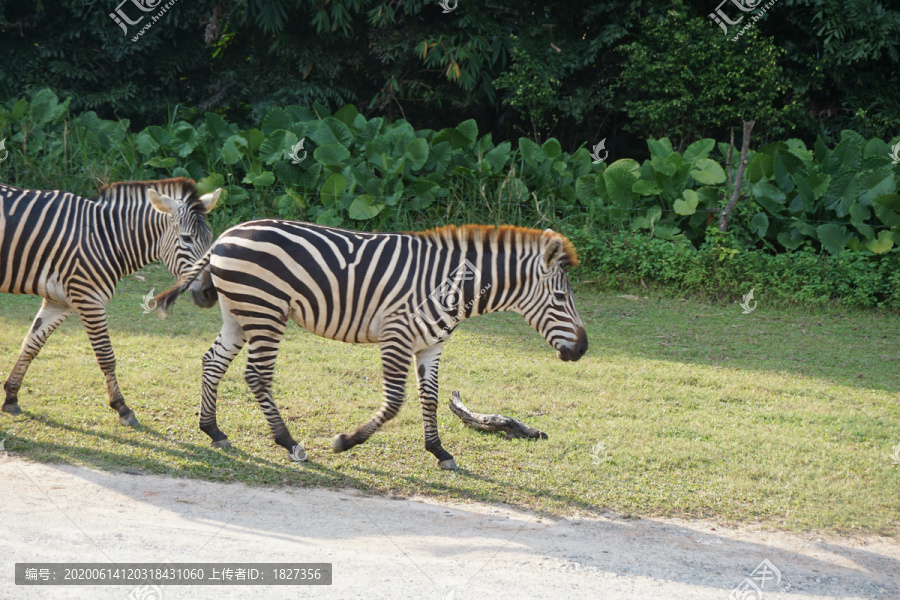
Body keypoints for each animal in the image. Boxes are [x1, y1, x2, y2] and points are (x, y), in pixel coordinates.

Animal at [0, 178, 221, 426]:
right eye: (186, 238)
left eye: (210, 239)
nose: (210, 293)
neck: (107, 238)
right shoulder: (88, 298)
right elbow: (106, 356)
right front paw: (121, 407)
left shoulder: (59, 301)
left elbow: (31, 344)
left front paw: (11, 395)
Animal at [156, 220, 592, 468]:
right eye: (560, 298)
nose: (584, 350)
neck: (454, 284)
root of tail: (225, 236)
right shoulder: (396, 336)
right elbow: (396, 402)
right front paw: (346, 441)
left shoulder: (430, 345)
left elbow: (430, 399)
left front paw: (439, 451)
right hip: (266, 311)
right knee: (257, 376)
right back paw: (289, 443)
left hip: (239, 312)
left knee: (213, 362)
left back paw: (212, 430)